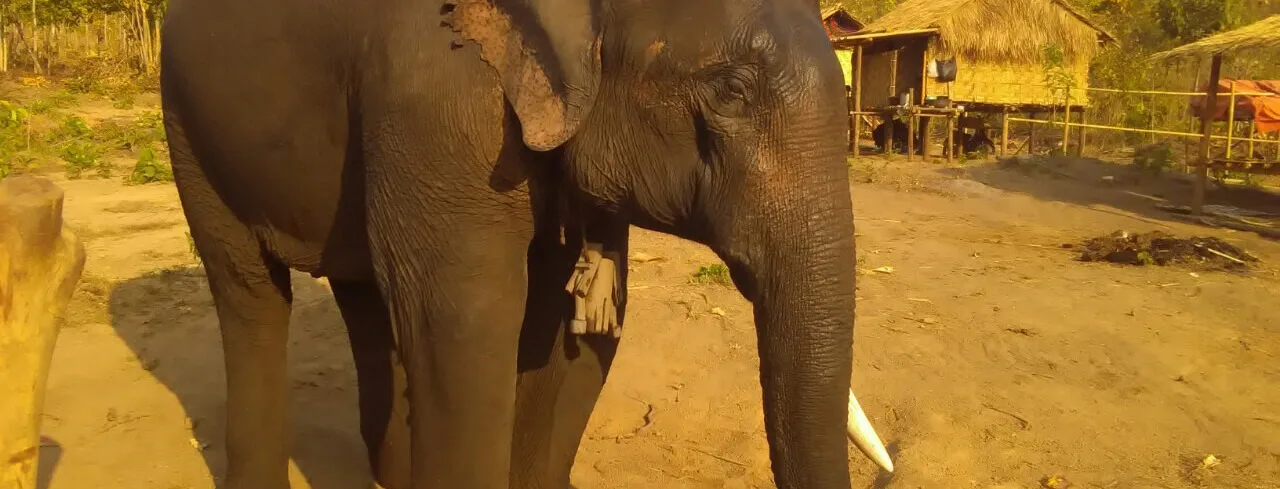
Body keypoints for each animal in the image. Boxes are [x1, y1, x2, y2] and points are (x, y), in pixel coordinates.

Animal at [158, 0, 891, 486]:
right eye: (731, 91)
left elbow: (570, 329)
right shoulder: (436, 100)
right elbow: (467, 325)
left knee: (362, 295)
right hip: (188, 127)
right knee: (249, 291)